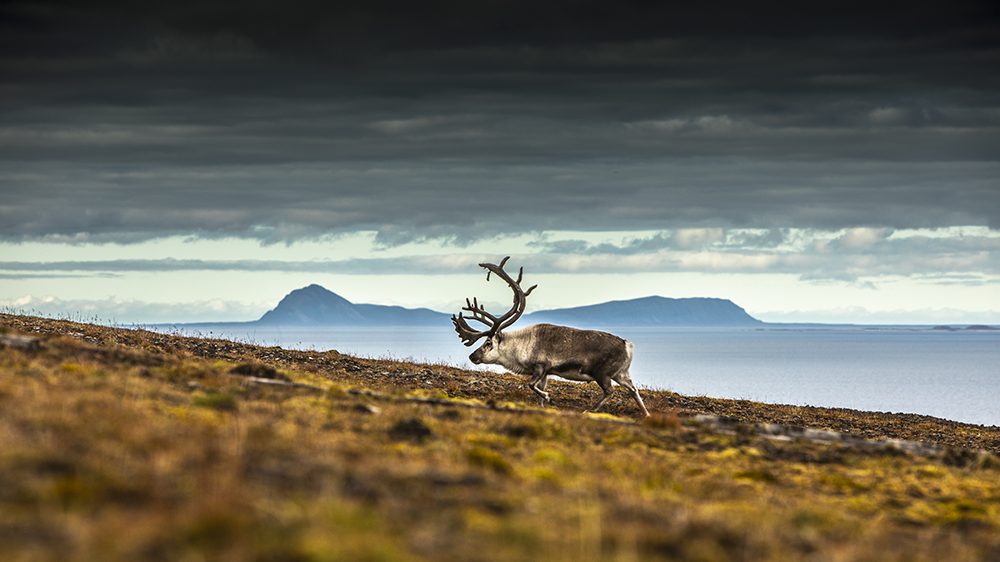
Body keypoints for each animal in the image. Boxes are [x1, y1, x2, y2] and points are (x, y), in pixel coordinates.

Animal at [452, 257, 650, 417]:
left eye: (487, 343)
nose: (472, 356)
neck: (520, 348)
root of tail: (627, 345)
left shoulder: (541, 366)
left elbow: (531, 385)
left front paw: (547, 397)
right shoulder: (545, 372)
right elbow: (538, 389)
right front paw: (541, 404)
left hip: (602, 373)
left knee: (610, 391)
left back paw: (590, 410)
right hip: (621, 373)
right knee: (633, 390)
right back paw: (646, 415)